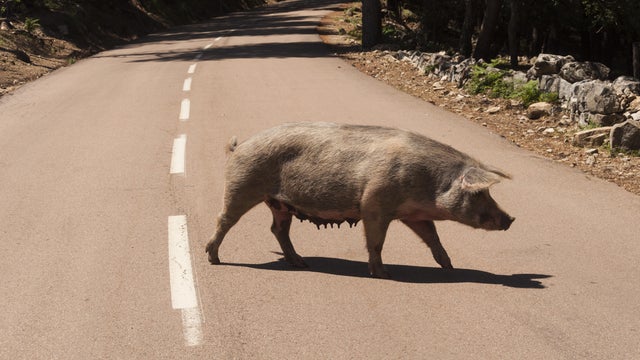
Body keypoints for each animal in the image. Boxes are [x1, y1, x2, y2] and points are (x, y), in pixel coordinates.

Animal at [206, 122, 516, 278]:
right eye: (479, 193)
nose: (511, 218)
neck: (428, 184)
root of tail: (238, 146)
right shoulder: (374, 205)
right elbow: (376, 242)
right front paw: (383, 273)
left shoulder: (413, 214)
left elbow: (432, 237)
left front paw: (450, 267)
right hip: (243, 185)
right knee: (224, 219)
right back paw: (214, 258)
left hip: (279, 203)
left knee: (277, 229)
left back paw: (301, 263)